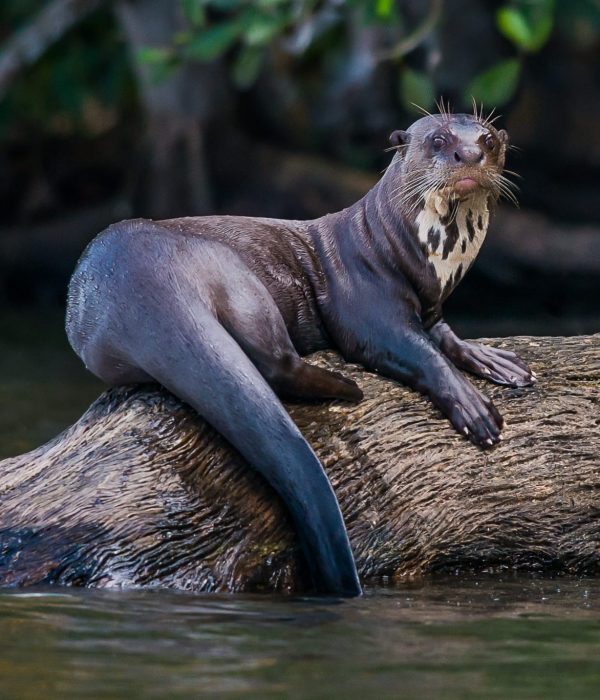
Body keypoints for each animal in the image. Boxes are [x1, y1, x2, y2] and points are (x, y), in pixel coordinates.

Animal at [65, 109, 536, 596]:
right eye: (439, 140)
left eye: (487, 139)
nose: (470, 154)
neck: (404, 251)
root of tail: (139, 282)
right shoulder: (366, 306)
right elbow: (416, 352)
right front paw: (473, 407)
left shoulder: (431, 307)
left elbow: (445, 337)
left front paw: (495, 361)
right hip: (233, 274)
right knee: (275, 362)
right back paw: (347, 388)